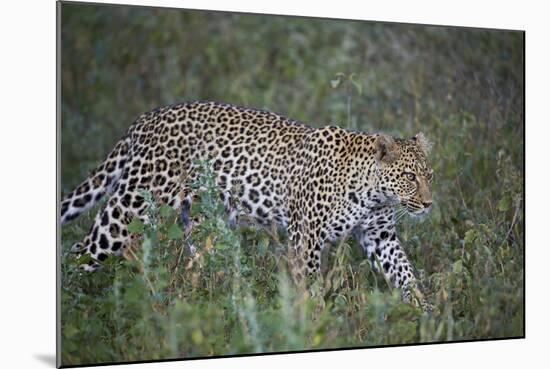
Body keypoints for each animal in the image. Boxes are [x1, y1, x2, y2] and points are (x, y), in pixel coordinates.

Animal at [61, 99, 436, 306]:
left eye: (429, 175)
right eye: (409, 176)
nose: (429, 204)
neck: (372, 194)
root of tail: (144, 120)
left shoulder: (380, 236)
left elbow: (406, 274)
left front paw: (426, 314)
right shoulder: (306, 238)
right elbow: (310, 285)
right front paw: (313, 320)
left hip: (201, 225)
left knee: (196, 269)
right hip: (127, 211)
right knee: (79, 252)